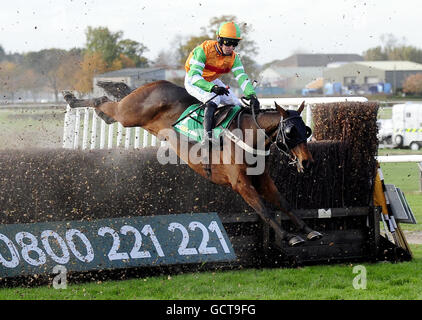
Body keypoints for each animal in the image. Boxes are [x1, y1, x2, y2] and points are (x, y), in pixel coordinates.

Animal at [62, 80, 322, 245]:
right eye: (290, 132)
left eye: (306, 130)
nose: (307, 162)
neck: (247, 134)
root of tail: (154, 83)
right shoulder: (240, 183)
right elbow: (264, 210)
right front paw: (289, 236)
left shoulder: (262, 179)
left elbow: (284, 203)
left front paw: (309, 231)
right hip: (129, 114)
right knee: (107, 103)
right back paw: (72, 98)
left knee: (109, 106)